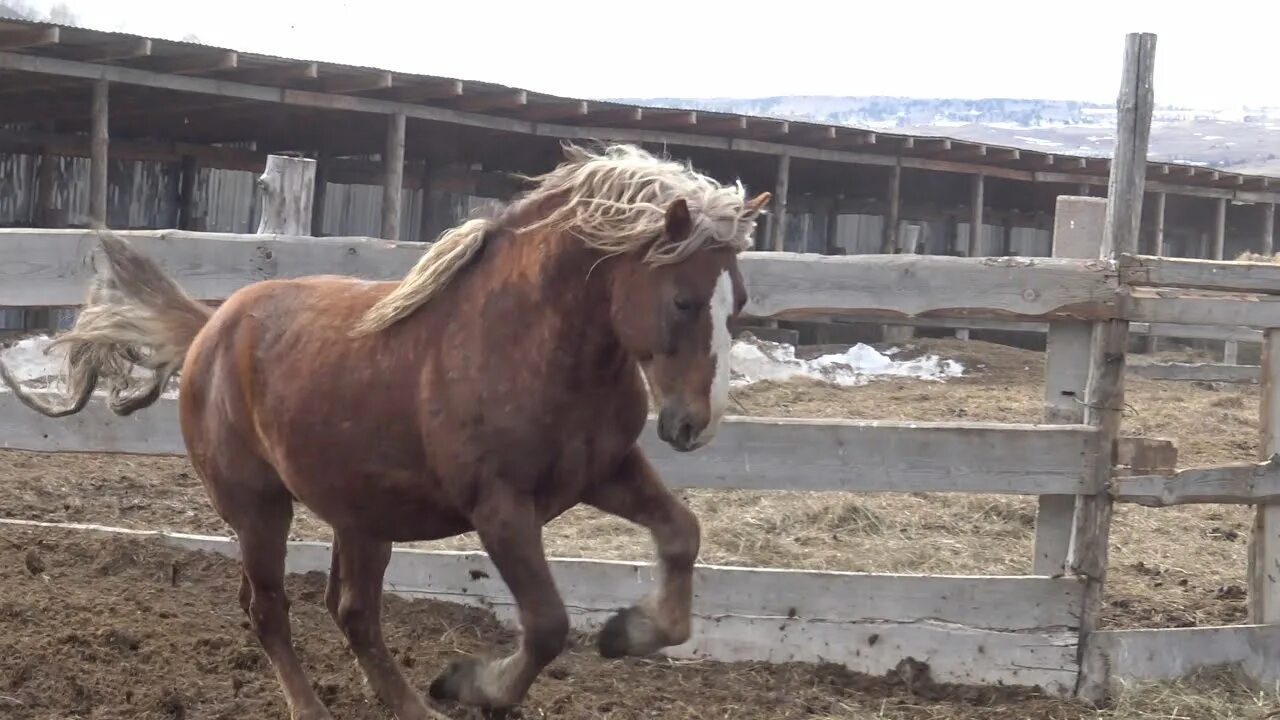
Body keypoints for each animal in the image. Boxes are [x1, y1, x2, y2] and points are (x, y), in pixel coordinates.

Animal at [5, 142, 768, 712]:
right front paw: (473, 685)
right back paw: (318, 707)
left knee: (352, 613)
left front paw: (627, 633)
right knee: (270, 608)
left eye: (738, 302)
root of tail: (209, 332)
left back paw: (411, 706)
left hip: (362, 517)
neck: (529, 342)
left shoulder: (603, 472)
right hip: (260, 508)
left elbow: (682, 534)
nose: (694, 424)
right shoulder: (500, 508)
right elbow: (548, 624)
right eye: (683, 300)